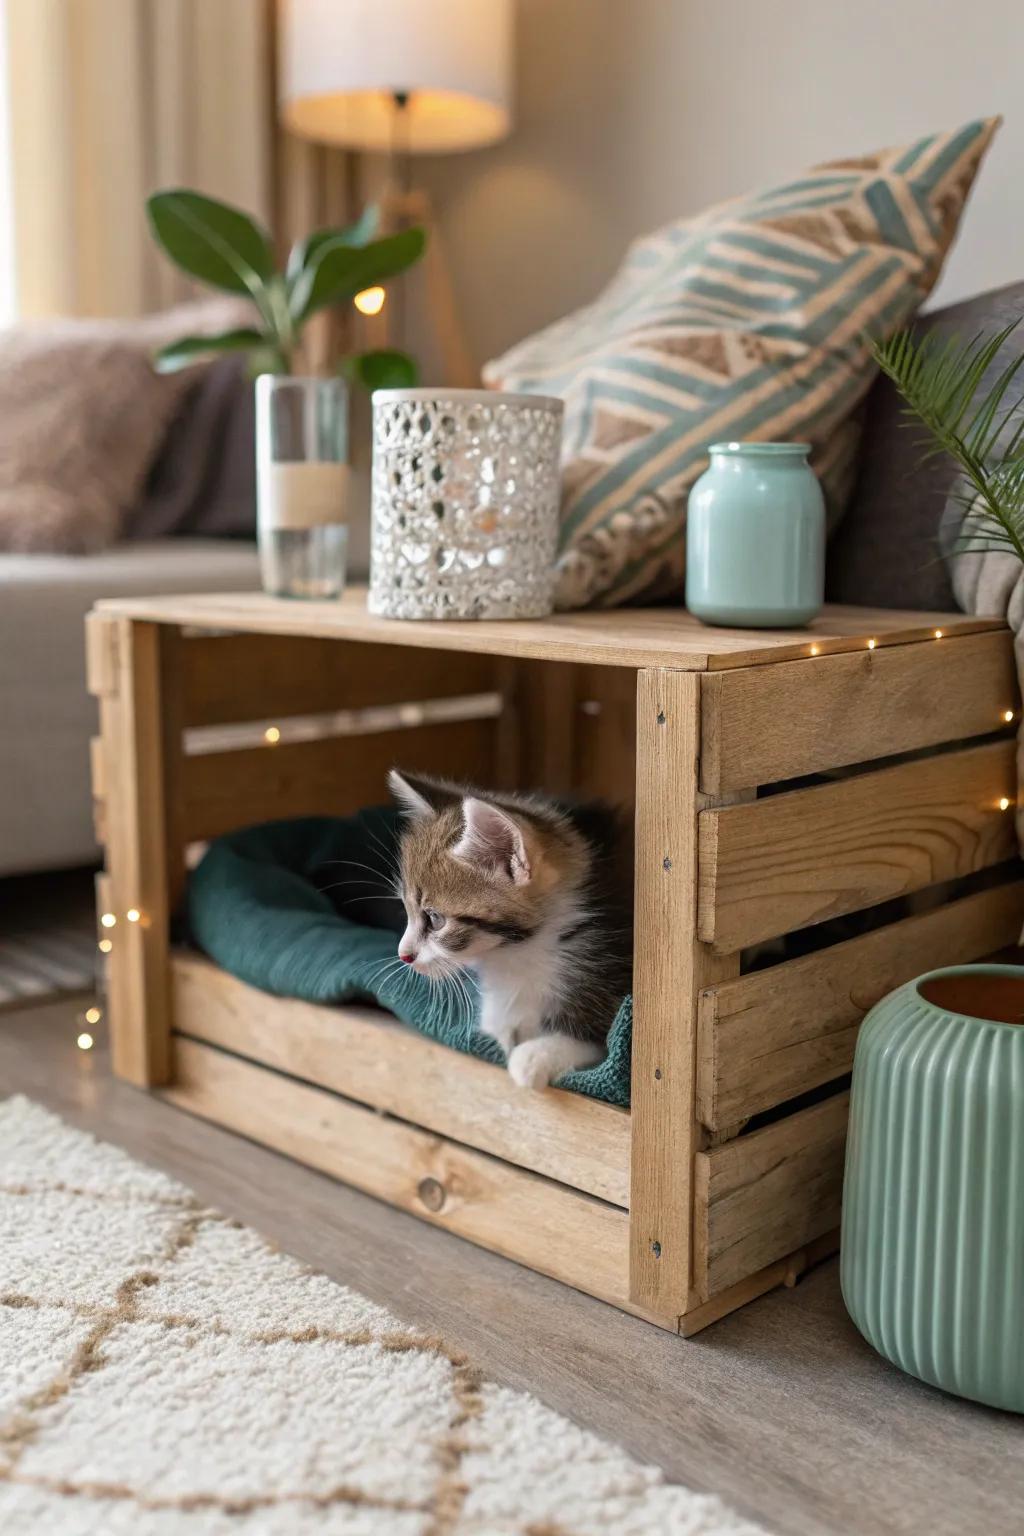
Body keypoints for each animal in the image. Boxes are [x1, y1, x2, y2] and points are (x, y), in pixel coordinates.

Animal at [388, 768, 632, 1093]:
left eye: (435, 919)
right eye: (406, 909)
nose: (403, 955)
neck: (515, 950)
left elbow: (600, 1043)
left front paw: (534, 1056)